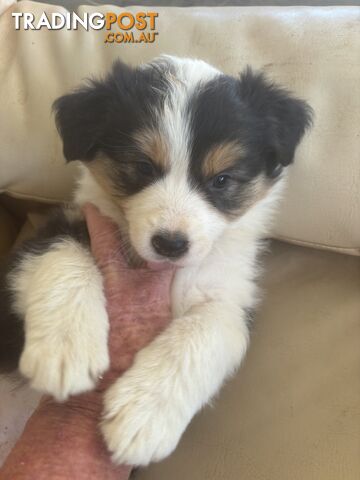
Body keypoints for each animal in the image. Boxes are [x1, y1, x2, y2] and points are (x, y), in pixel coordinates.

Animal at [0, 55, 312, 464]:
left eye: (222, 179)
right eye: (143, 167)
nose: (170, 244)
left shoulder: (230, 297)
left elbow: (204, 332)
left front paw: (143, 415)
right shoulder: (53, 230)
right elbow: (63, 257)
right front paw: (66, 350)